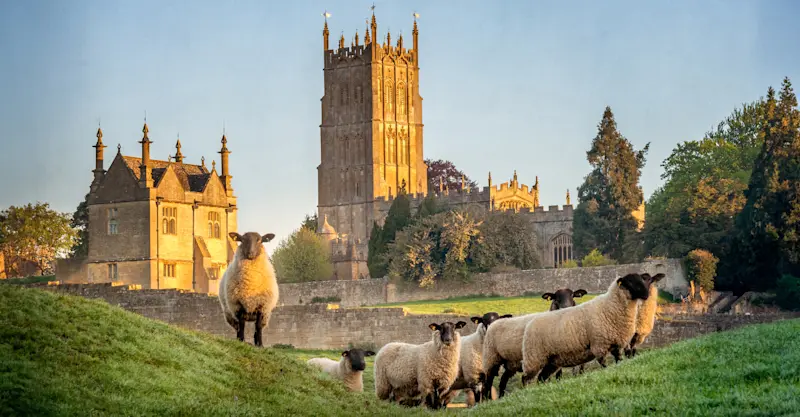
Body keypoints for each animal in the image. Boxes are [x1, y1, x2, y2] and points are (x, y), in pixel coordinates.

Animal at [519, 273, 651, 386]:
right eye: (630, 282)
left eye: (641, 280)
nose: (647, 295)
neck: (610, 306)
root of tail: (530, 323)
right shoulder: (599, 346)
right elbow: (604, 365)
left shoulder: (616, 345)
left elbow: (619, 360)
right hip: (534, 359)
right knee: (526, 378)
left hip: (551, 360)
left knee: (541, 377)